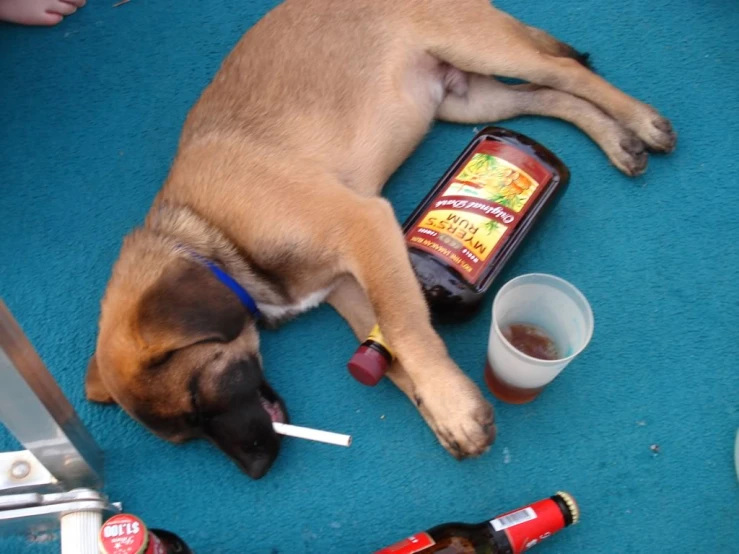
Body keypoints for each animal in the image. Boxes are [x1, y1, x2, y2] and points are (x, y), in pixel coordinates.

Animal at [86, 0, 676, 476]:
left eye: (199, 392)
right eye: (189, 431)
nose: (257, 470)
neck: (206, 235)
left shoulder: (364, 225)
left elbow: (405, 326)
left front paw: (450, 404)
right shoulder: (347, 284)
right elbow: (389, 351)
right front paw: (445, 410)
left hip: (479, 47)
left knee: (564, 70)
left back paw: (641, 121)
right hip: (468, 100)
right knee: (548, 95)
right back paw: (615, 138)